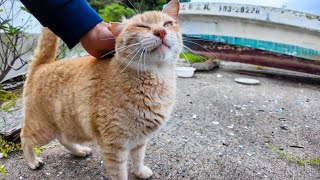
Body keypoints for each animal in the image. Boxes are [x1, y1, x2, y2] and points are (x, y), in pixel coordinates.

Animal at [20, 0, 182, 179]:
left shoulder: (139, 140)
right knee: (24, 138)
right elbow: (120, 174)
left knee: (62, 138)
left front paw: (140, 172)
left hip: (66, 125)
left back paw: (79, 151)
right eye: (141, 26)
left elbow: (138, 158)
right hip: (42, 130)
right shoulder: (114, 147)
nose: (160, 32)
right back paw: (32, 161)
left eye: (168, 24)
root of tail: (44, 65)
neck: (157, 78)